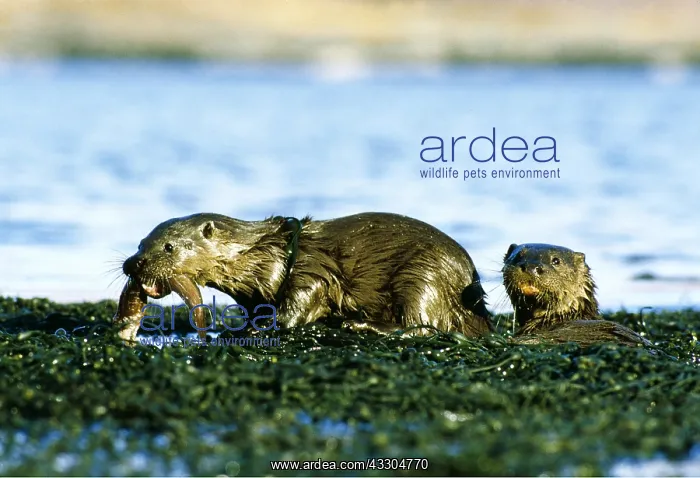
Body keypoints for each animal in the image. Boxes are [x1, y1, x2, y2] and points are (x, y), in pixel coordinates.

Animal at [114, 212, 494, 342]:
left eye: (168, 247)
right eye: (141, 243)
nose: (133, 264)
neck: (266, 255)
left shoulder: (312, 272)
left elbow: (296, 307)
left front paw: (251, 330)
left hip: (423, 275)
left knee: (422, 324)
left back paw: (359, 324)